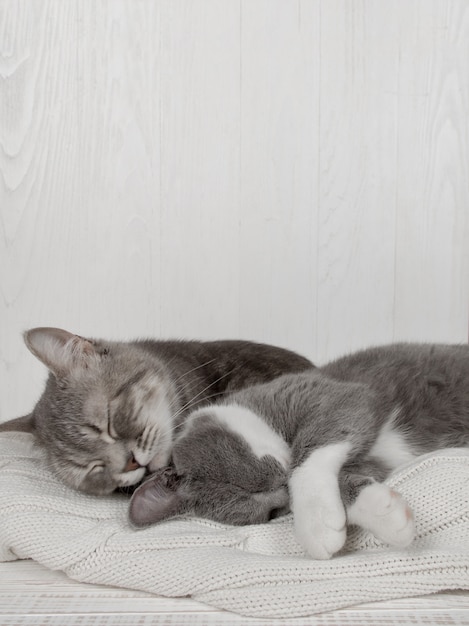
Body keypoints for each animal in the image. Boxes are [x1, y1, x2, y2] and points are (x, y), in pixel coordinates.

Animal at [128, 344, 468, 560]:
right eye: (270, 514)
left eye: (250, 475)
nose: (282, 491)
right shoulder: (370, 463)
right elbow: (347, 481)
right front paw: (386, 513)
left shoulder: (334, 395)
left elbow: (310, 455)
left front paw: (316, 523)